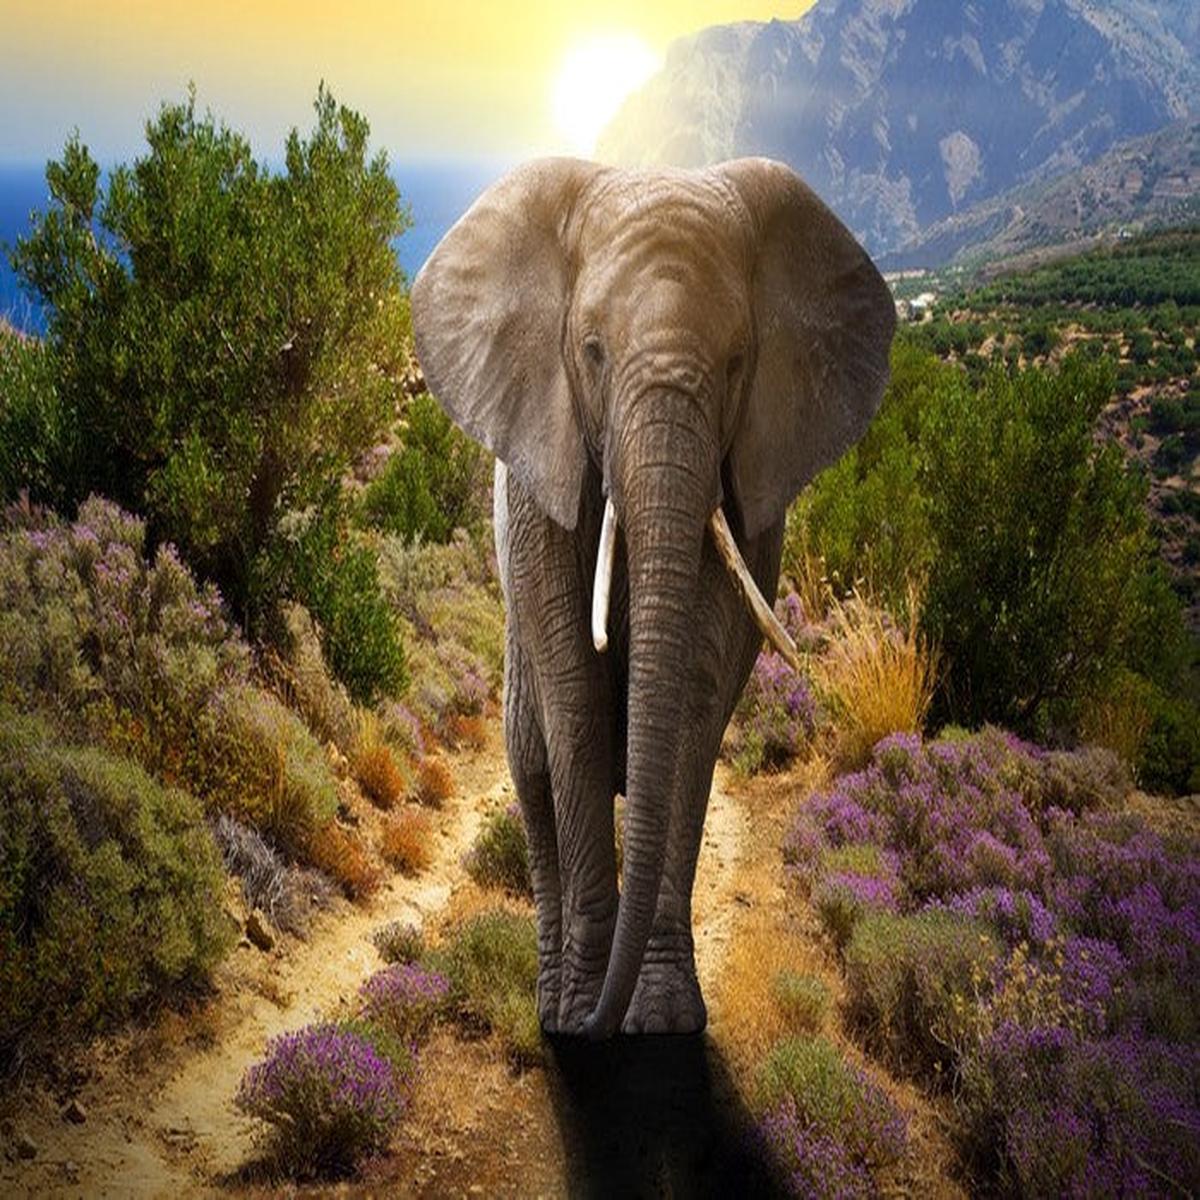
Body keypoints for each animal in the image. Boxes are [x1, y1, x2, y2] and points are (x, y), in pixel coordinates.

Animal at [411, 157, 895, 1038]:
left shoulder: (750, 491)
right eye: (593, 351)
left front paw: (663, 1018)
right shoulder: (542, 469)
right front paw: (581, 1013)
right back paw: (553, 999)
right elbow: (573, 698)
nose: (595, 1024)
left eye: (739, 361)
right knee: (532, 765)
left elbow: (699, 696)